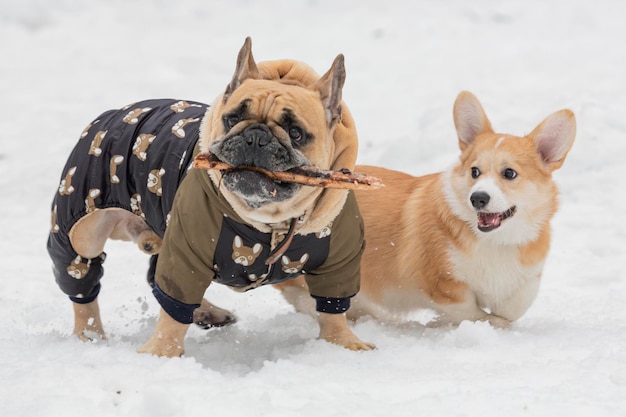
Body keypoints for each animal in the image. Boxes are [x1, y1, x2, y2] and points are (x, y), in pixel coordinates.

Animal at [276, 92, 572, 328]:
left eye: (509, 173)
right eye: (475, 171)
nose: (477, 198)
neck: (495, 241)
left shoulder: (526, 277)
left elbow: (516, 305)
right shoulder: (445, 289)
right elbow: (478, 314)